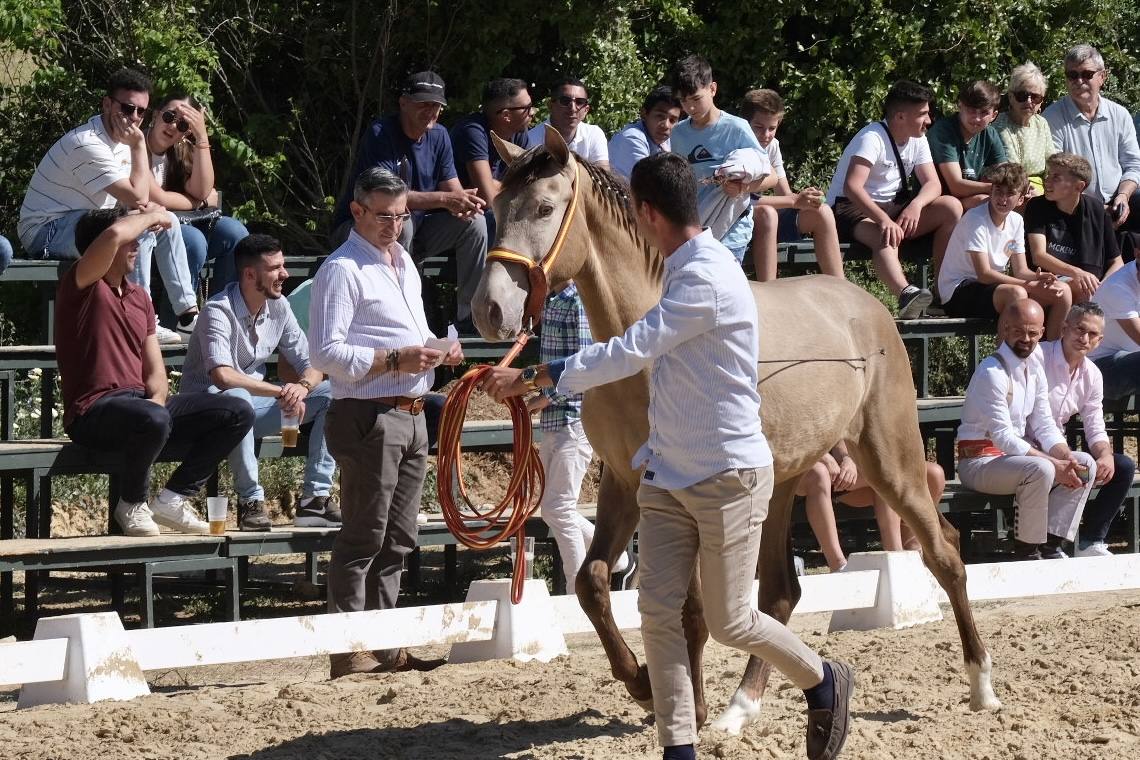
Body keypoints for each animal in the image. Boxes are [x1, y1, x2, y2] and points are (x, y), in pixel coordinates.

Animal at [467, 127, 1003, 733]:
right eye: (495, 208)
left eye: (543, 207)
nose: (489, 309)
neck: (645, 346)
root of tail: (867, 305)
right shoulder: (625, 484)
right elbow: (593, 583)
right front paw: (644, 684)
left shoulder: (687, 493)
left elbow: (692, 611)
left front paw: (687, 707)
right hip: (783, 485)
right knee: (779, 594)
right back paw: (741, 707)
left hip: (890, 461)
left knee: (945, 555)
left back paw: (982, 687)